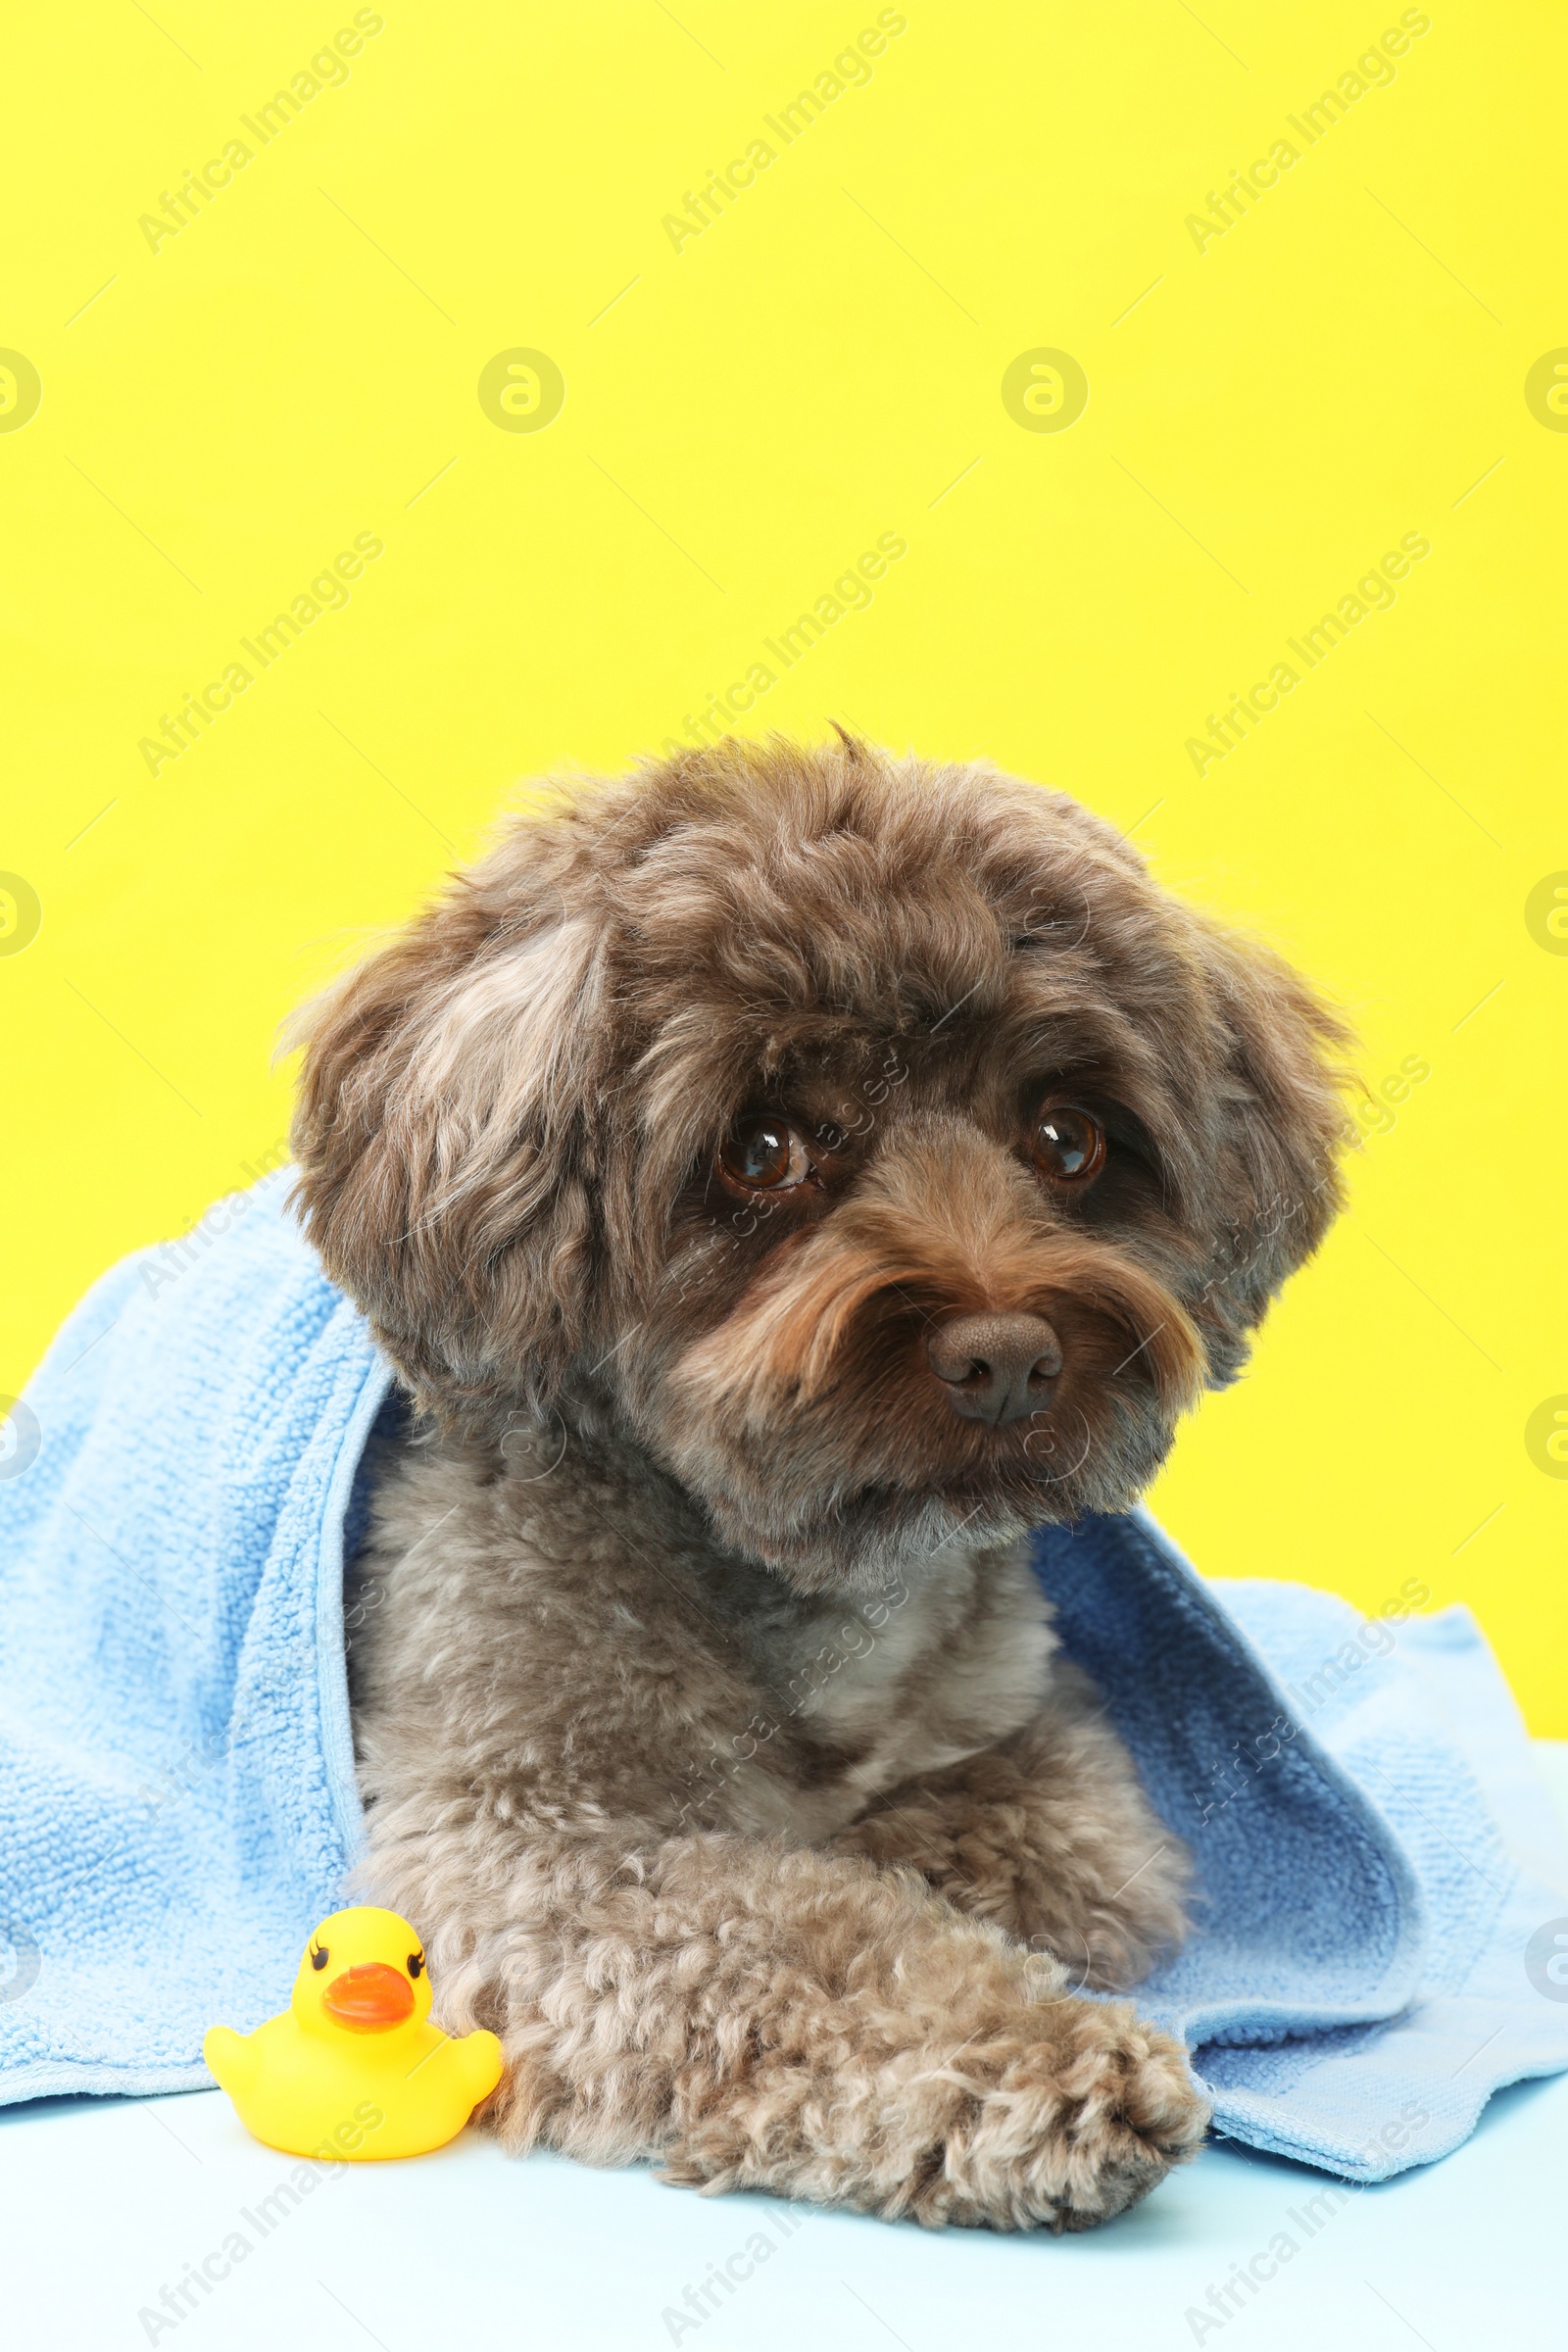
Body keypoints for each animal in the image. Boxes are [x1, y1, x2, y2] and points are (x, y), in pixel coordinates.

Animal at [291, 729, 1353, 2220]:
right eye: (763, 1150)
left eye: (1067, 1138)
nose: (1007, 1357)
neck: (809, 1585)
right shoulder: (517, 1839)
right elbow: (799, 1935)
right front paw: (1030, 2061)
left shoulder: (1039, 1738)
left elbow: (1062, 1858)